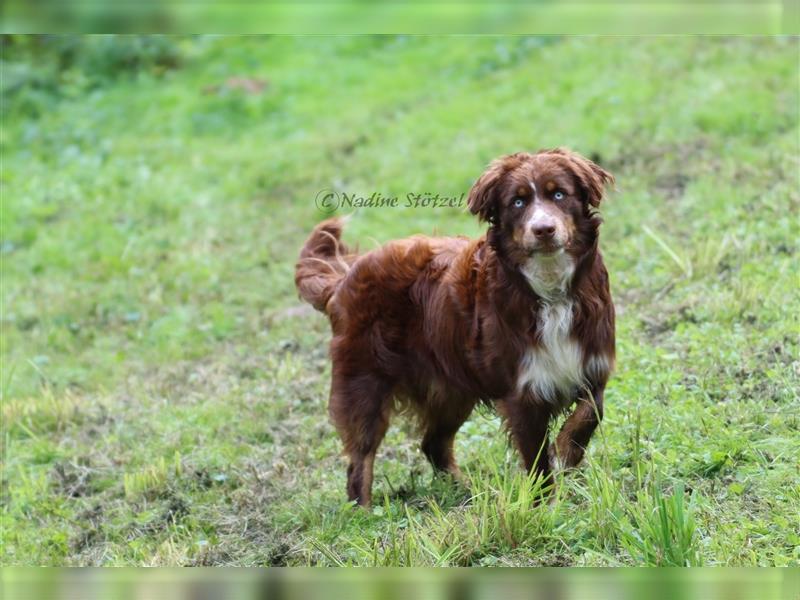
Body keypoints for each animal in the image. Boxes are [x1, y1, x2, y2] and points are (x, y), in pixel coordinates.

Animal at [296, 148, 616, 504]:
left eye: (559, 194)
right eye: (517, 202)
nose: (543, 229)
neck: (549, 290)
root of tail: (342, 280)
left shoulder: (591, 365)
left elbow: (591, 412)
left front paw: (568, 453)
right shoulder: (521, 391)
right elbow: (536, 461)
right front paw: (544, 503)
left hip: (451, 389)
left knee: (433, 443)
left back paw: (467, 490)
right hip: (365, 383)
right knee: (360, 461)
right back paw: (363, 510)